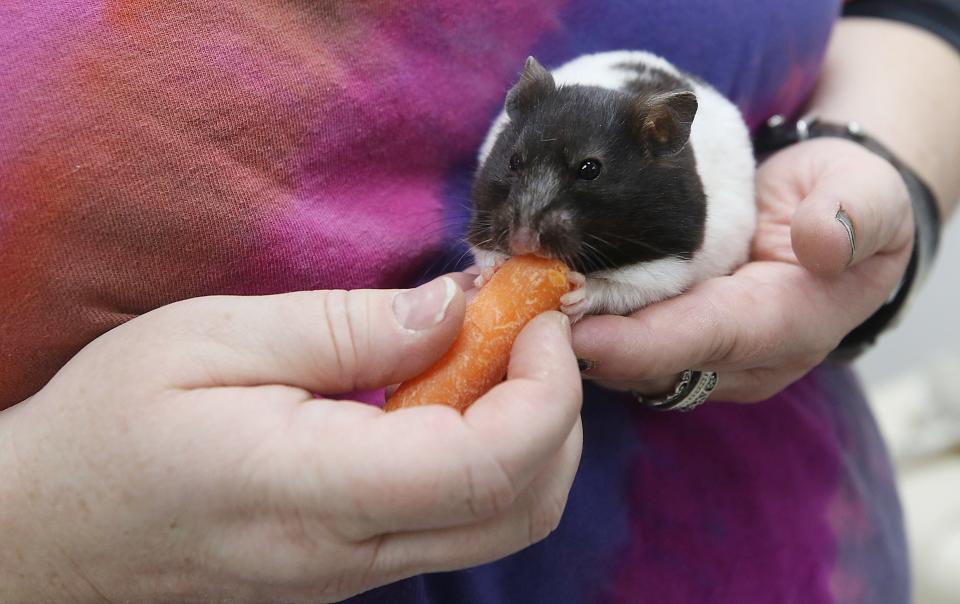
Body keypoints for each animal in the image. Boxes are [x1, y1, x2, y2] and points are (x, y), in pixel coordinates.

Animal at [466, 52, 756, 320]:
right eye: (514, 161)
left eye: (590, 169)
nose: (522, 242)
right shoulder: (483, 219)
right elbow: (483, 251)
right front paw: (492, 271)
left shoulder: (670, 260)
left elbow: (622, 285)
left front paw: (578, 292)